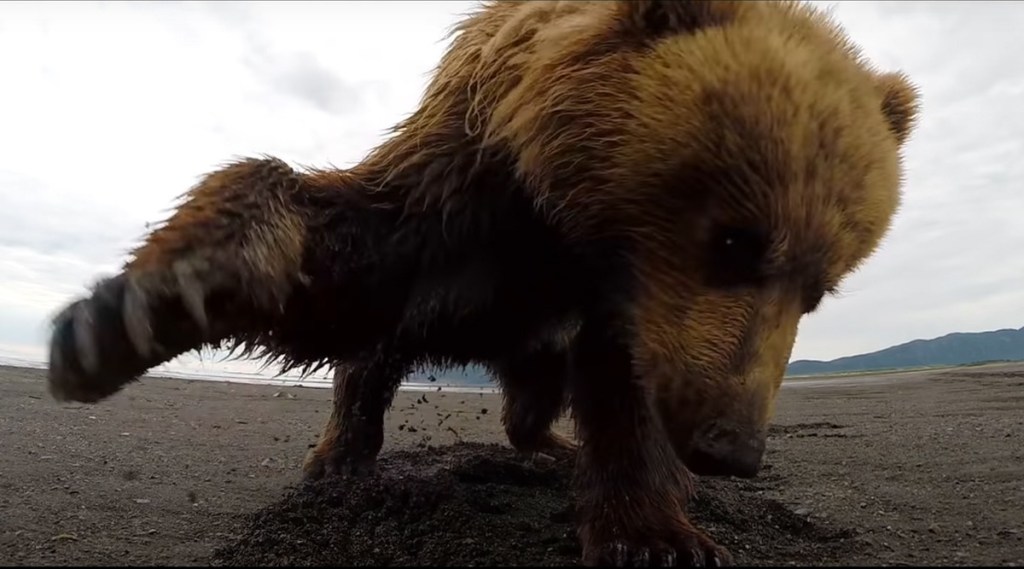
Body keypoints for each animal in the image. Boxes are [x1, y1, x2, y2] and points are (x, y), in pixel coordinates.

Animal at [44, 2, 921, 564]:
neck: (571, 223)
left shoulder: (624, 306)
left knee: (533, 400)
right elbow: (339, 272)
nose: (731, 446)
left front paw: (658, 534)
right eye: (736, 240)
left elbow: (626, 390)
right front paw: (133, 311)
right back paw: (341, 456)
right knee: (375, 362)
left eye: (820, 287)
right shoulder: (464, 197)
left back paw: (552, 446)